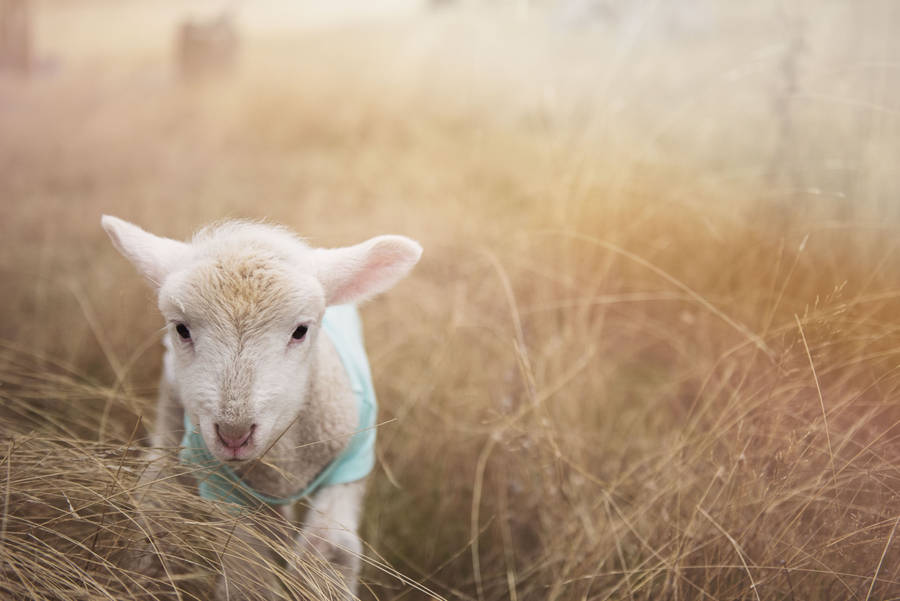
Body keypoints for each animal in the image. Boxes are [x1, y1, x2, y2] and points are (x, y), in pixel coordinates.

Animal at [101, 216, 422, 600]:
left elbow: (330, 553)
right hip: (171, 411)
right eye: (181, 329)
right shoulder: (229, 488)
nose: (234, 433)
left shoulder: (349, 466)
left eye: (301, 331)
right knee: (158, 490)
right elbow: (247, 575)